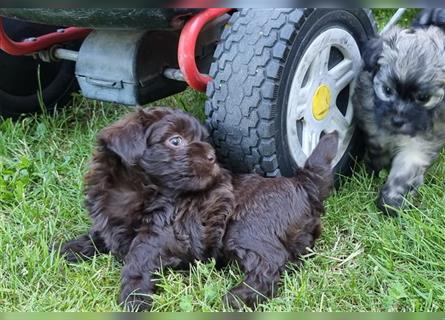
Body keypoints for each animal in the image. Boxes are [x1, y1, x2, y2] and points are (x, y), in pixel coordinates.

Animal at [59, 107, 336, 310]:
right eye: (175, 141)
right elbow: (99, 235)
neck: (139, 189)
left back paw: (238, 298)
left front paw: (134, 297)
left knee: (270, 264)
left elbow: (138, 258)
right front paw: (68, 247)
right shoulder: (113, 223)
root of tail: (302, 184)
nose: (213, 156)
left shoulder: (161, 232)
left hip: (248, 226)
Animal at [354, 14, 445, 215]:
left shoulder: (423, 141)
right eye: (387, 90)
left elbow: (407, 166)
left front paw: (391, 201)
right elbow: (378, 141)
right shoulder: (372, 119)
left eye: (424, 98)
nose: (397, 121)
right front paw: (375, 165)